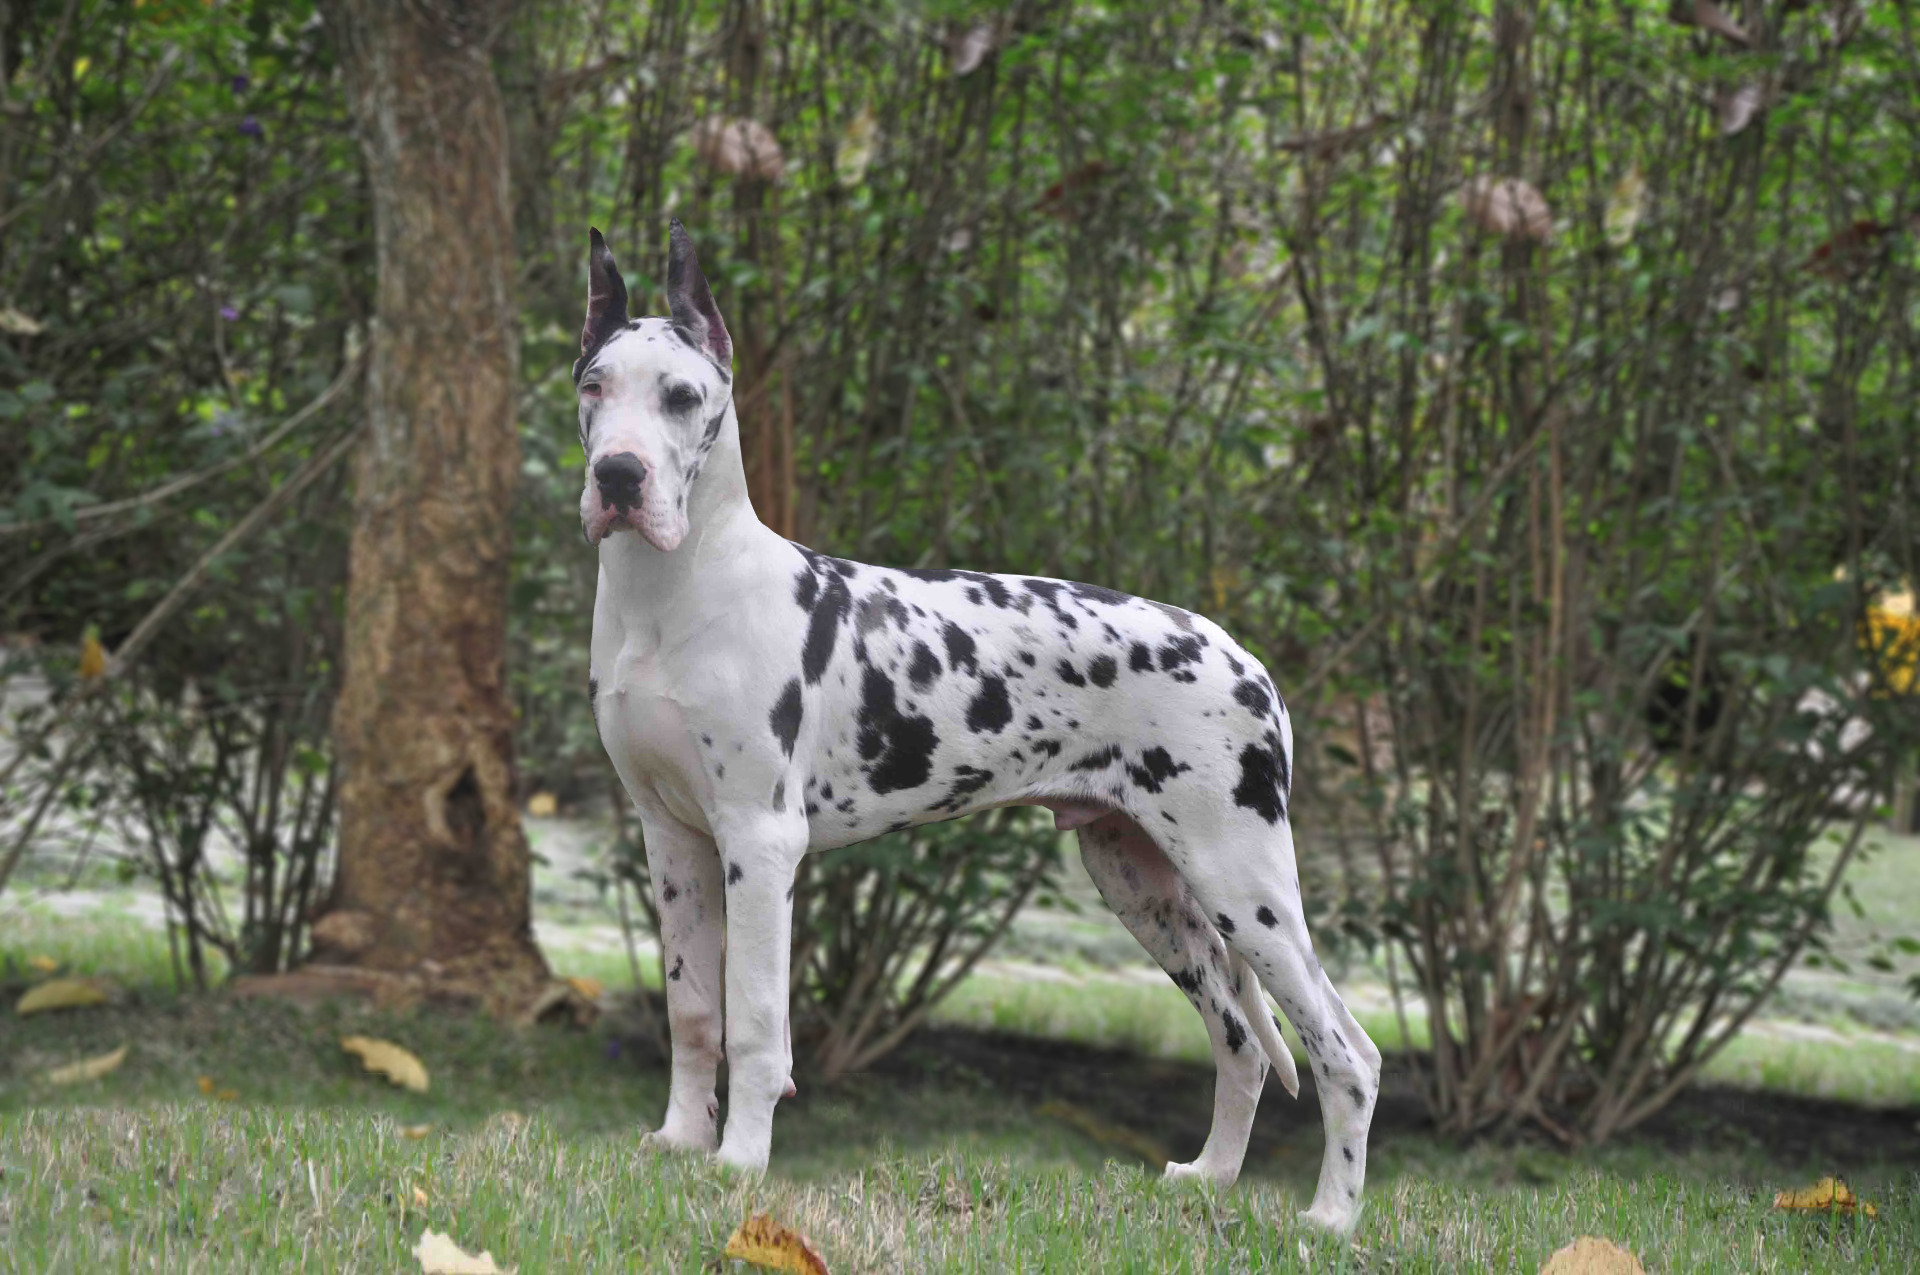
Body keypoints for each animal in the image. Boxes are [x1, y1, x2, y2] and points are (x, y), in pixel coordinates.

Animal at [579, 221, 1381, 1235]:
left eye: (683, 396)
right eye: (593, 385)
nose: (618, 475)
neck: (672, 594)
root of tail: (1246, 658)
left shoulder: (759, 844)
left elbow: (756, 1025)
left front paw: (740, 1167)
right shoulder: (673, 839)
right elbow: (692, 1011)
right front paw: (682, 1144)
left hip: (1243, 880)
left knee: (1346, 1051)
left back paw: (1332, 1220)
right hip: (1143, 883)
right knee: (1239, 1039)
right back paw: (1210, 1180)